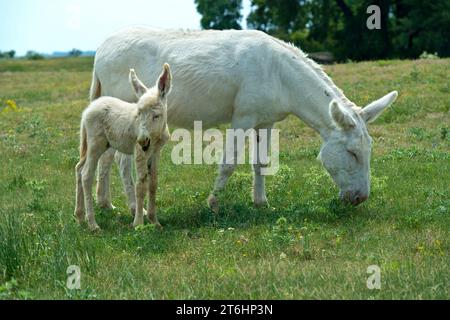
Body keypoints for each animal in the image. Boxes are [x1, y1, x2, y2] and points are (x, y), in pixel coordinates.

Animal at [74, 63, 171, 231]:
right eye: (139, 113)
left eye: (156, 115)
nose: (143, 140)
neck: (155, 137)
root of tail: (87, 110)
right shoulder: (139, 152)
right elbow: (141, 185)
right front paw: (138, 223)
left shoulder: (155, 152)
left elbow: (153, 184)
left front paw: (155, 221)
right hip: (95, 144)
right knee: (86, 175)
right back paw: (93, 224)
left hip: (97, 145)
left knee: (79, 169)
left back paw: (80, 217)